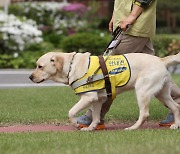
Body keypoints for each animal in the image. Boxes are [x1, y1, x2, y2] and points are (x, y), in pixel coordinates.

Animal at [29, 51, 180, 130]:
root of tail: (161, 60)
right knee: (176, 107)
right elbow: (96, 117)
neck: (71, 66)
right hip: (162, 93)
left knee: (144, 114)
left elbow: (71, 112)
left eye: (40, 66)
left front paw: (76, 124)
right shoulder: (97, 99)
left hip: (142, 91)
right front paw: (90, 128)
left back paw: (132, 128)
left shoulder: (88, 97)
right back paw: (176, 125)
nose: (30, 77)